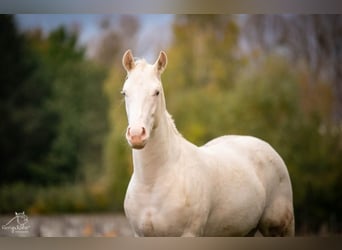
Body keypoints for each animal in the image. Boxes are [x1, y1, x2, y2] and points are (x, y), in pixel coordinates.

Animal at [120, 49, 294, 236]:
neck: (152, 184)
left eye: (156, 92)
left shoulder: (190, 233)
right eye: (124, 93)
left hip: (280, 228)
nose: (136, 135)